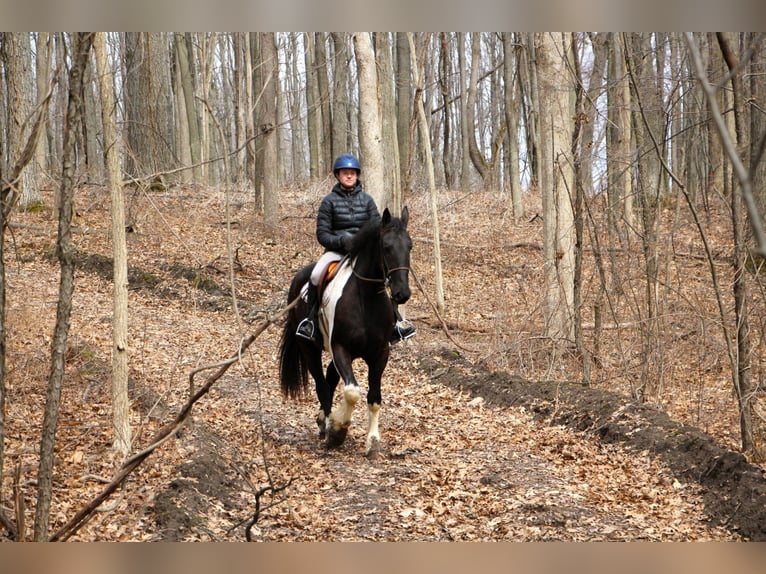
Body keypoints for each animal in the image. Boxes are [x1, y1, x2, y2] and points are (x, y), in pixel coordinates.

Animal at [280, 207, 414, 460]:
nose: (402, 294)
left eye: (409, 246)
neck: (366, 299)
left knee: (330, 380)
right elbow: (352, 392)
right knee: (322, 385)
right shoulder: (341, 348)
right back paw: (326, 426)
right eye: (386, 247)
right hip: (309, 348)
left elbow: (374, 398)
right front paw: (338, 429)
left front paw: (372, 443)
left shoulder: (380, 354)